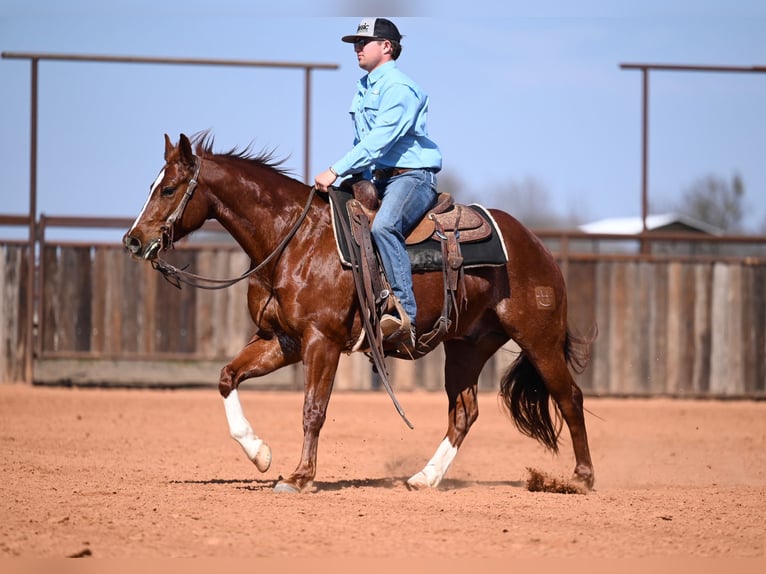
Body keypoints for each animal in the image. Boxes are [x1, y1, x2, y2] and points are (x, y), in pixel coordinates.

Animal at [123, 132, 596, 493]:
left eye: (168, 189)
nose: (133, 240)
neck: (295, 239)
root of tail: (537, 246)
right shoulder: (283, 340)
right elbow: (227, 376)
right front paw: (260, 454)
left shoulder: (322, 341)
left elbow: (313, 409)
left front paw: (299, 477)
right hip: (467, 346)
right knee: (464, 412)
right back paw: (424, 478)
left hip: (539, 339)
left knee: (569, 398)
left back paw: (581, 478)